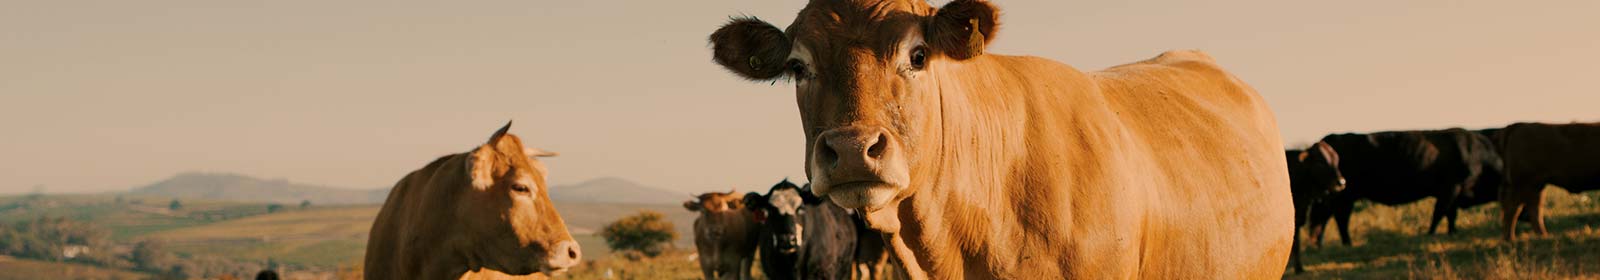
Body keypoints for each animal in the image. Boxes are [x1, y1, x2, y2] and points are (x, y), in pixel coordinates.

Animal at [1280, 143, 1344, 275]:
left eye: (1336, 160)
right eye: (1320, 163)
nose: (1341, 182)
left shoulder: (1300, 214)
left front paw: (1299, 267)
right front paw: (1297, 268)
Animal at [1299, 128, 1497, 246]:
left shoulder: (1452, 192)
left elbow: (1450, 214)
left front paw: (1452, 232)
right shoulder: (1451, 188)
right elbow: (1440, 213)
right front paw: (1432, 234)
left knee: (1327, 218)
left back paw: (1323, 244)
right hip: (1343, 196)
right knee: (1338, 218)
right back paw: (1345, 243)